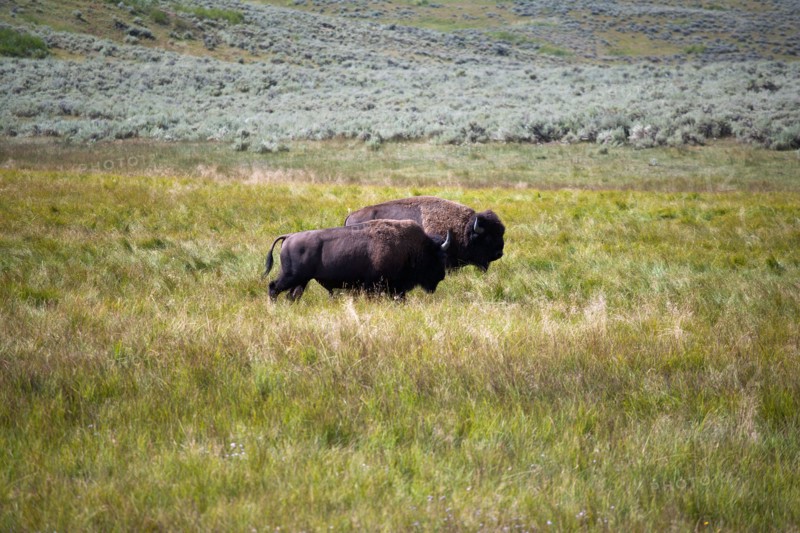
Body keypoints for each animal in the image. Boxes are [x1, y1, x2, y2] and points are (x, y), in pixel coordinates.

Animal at [263, 219, 451, 301]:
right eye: (439, 258)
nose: (442, 276)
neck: (412, 248)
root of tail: (289, 236)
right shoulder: (377, 285)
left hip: (301, 280)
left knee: (292, 295)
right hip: (291, 276)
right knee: (273, 287)